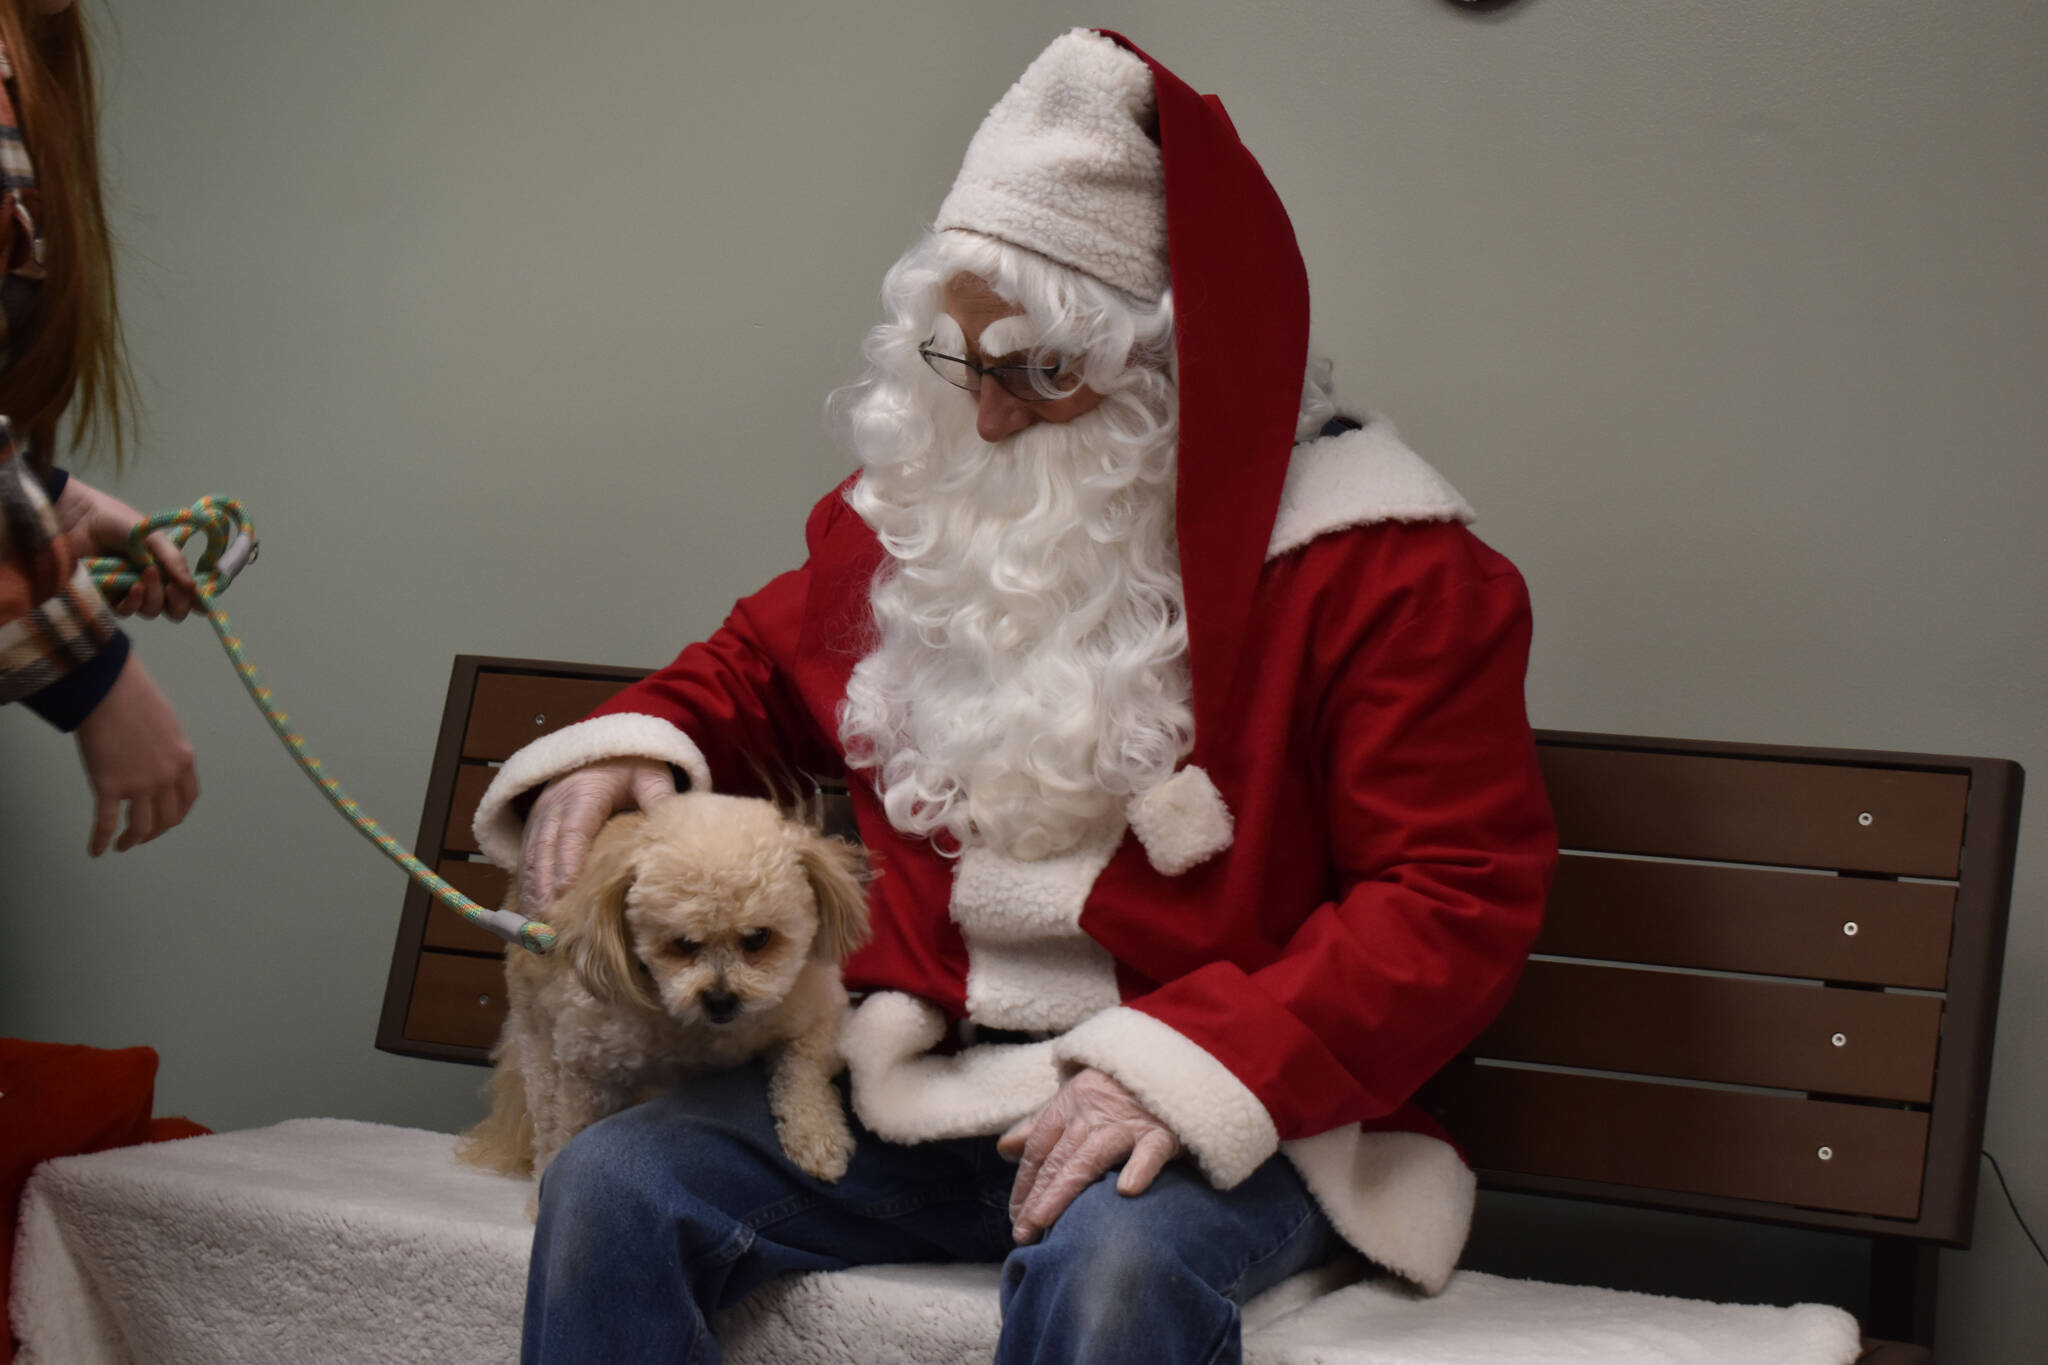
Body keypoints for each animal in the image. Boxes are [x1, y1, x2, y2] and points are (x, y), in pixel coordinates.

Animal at [456, 794, 872, 1186]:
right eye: (682, 944)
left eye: (758, 938)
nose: (720, 1001)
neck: (698, 1034)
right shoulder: (584, 1064)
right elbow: (568, 1133)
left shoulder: (817, 1012)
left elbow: (804, 1075)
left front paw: (817, 1139)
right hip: (537, 1038)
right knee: (544, 1116)